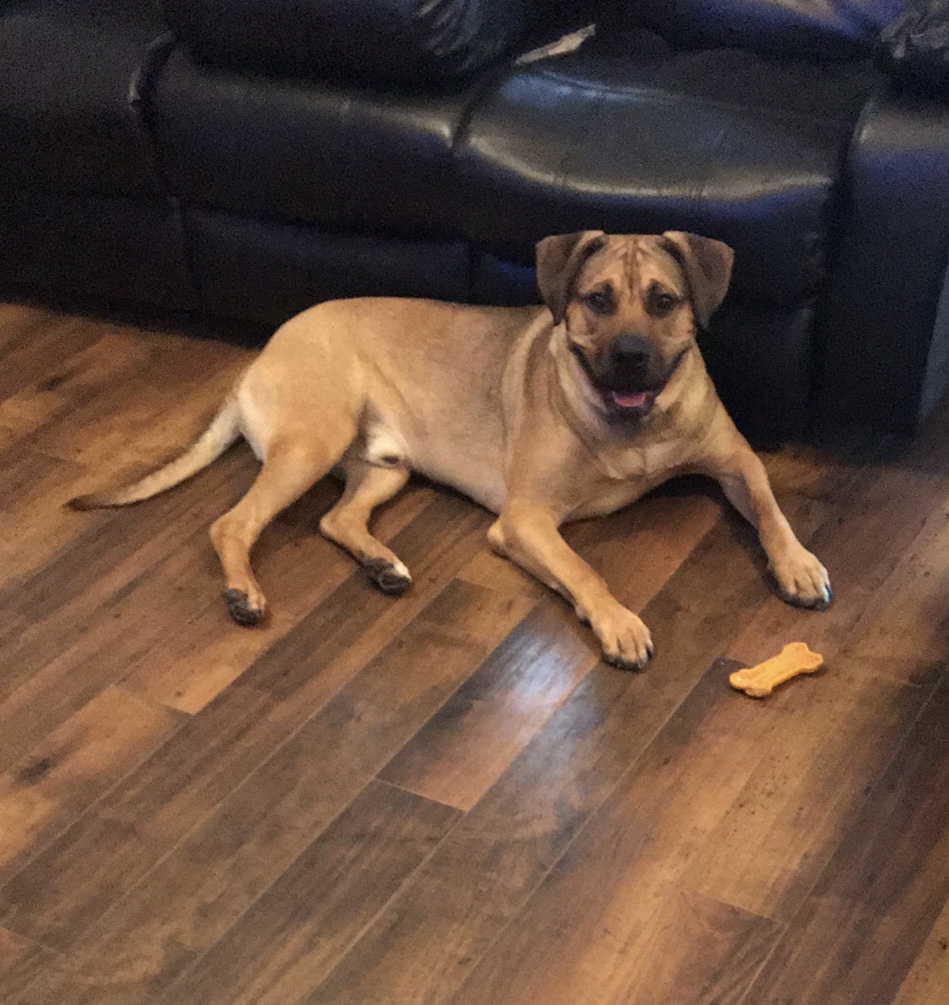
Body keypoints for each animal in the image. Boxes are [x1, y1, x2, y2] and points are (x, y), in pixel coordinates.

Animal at [70, 231, 831, 668]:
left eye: (664, 300)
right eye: (597, 300)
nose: (630, 357)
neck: (635, 425)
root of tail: (257, 357)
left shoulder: (736, 460)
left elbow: (769, 509)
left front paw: (796, 564)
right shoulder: (525, 520)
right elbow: (582, 571)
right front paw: (617, 622)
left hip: (384, 467)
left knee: (335, 518)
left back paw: (382, 564)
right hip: (312, 439)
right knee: (232, 523)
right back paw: (243, 591)